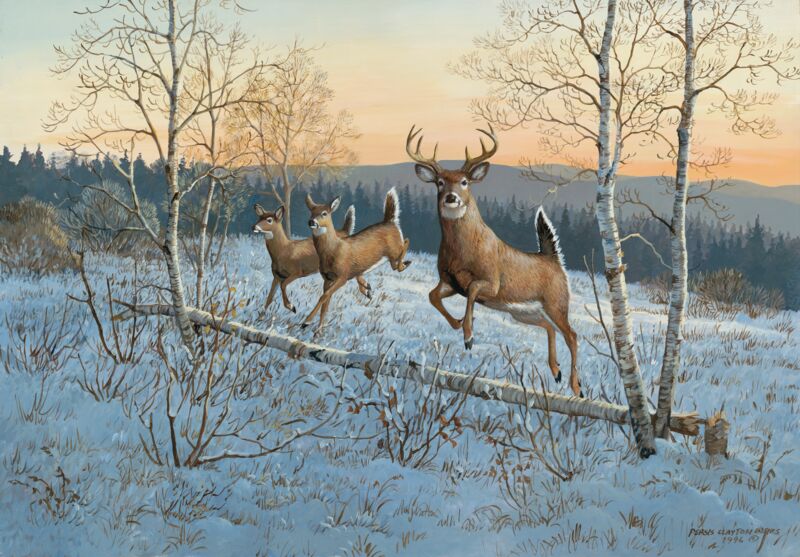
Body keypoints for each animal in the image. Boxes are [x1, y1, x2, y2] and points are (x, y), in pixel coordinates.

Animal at [301, 188, 411, 331]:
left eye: (324, 213)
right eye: (311, 211)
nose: (311, 222)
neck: (333, 251)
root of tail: (390, 221)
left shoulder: (342, 276)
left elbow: (324, 296)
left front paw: (306, 322)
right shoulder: (327, 278)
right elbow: (325, 303)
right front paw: (318, 330)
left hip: (394, 249)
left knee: (406, 243)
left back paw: (406, 263)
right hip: (390, 256)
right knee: (395, 264)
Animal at [406, 124, 582, 397]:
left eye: (465, 182)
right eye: (439, 182)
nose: (451, 198)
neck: (462, 252)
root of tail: (553, 259)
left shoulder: (492, 282)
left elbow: (472, 289)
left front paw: (468, 335)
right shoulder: (449, 281)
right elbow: (432, 295)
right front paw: (458, 323)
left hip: (556, 301)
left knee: (572, 335)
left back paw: (576, 386)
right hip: (523, 311)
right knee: (549, 327)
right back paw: (556, 371)